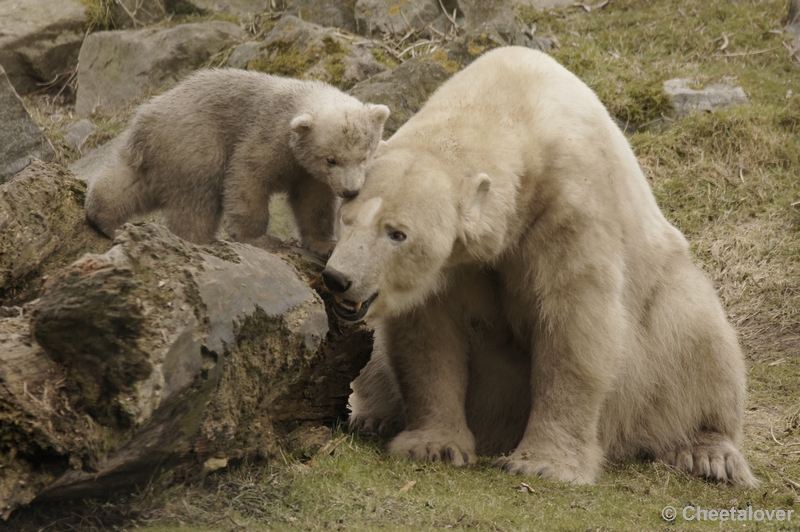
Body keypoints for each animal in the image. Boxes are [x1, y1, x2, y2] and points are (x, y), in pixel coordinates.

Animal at [324, 46, 756, 486]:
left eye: (397, 233)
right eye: (347, 217)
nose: (338, 279)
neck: (511, 105)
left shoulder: (570, 209)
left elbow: (574, 327)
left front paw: (542, 462)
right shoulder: (453, 265)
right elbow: (429, 333)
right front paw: (434, 446)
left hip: (661, 309)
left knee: (698, 336)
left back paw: (708, 453)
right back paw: (372, 417)